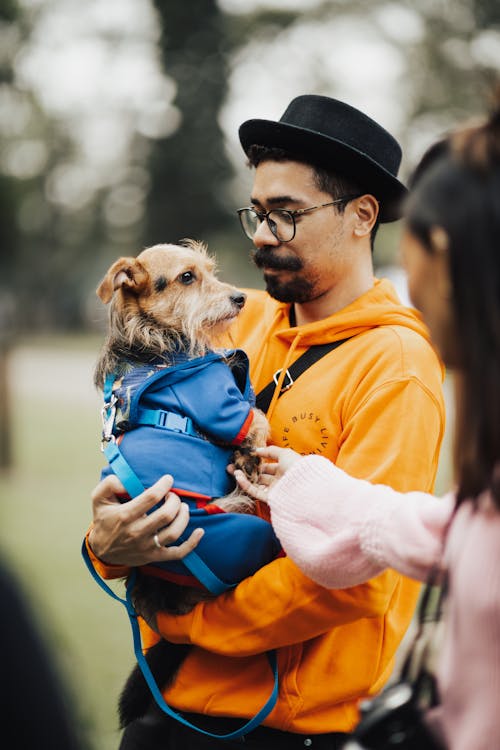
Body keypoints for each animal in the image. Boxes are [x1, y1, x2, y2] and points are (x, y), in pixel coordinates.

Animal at [94, 241, 274, 728]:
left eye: (209, 271)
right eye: (187, 277)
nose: (240, 299)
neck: (157, 345)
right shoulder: (218, 402)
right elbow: (256, 419)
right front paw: (250, 456)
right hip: (244, 534)